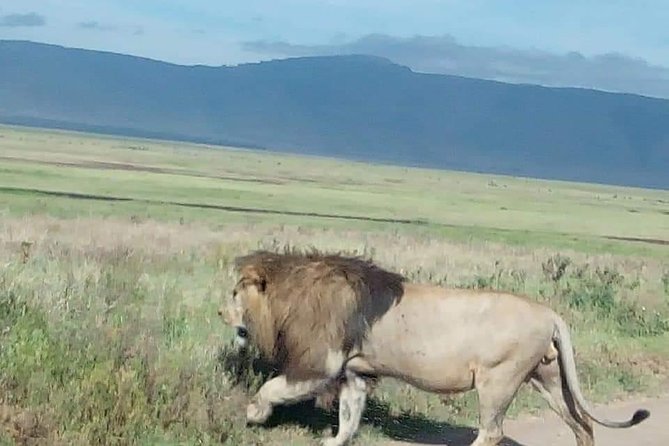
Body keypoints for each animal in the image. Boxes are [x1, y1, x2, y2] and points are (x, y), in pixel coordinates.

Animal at [218, 249, 650, 446]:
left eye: (235, 293)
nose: (220, 311)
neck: (289, 292)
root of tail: (550, 313)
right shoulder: (355, 373)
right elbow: (349, 415)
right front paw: (335, 441)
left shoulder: (320, 364)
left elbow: (272, 388)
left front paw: (254, 414)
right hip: (547, 378)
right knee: (582, 423)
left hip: (498, 380)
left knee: (492, 431)